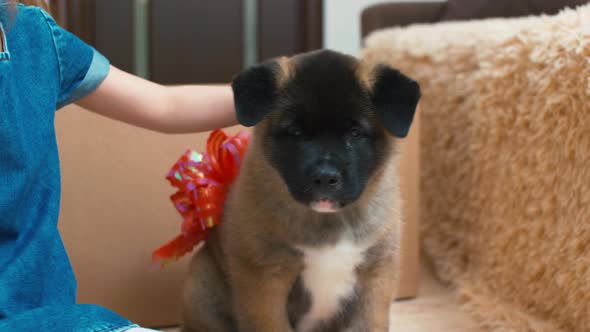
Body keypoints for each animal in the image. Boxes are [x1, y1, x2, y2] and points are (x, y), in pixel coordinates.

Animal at [184, 49, 420, 332]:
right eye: (295, 132)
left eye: (355, 133)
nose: (325, 178)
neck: (327, 221)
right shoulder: (264, 281)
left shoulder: (375, 278)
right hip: (202, 286)